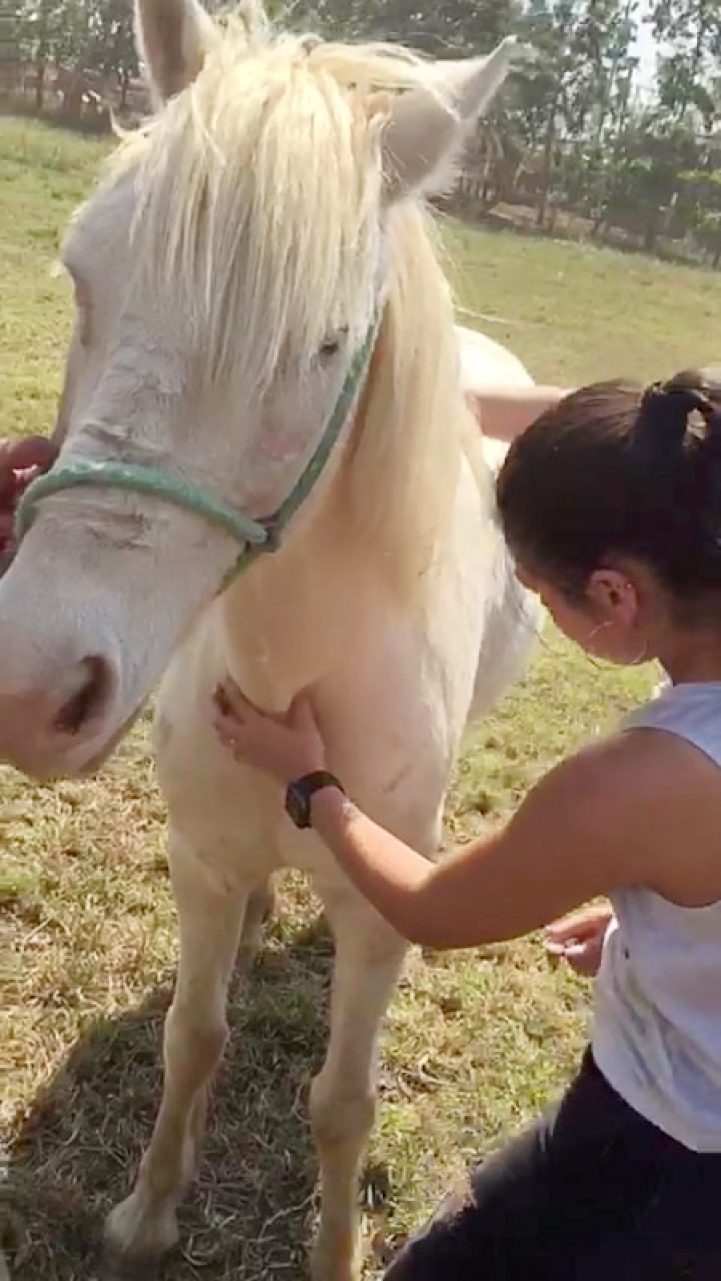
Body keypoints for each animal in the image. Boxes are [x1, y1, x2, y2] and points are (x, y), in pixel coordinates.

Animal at [0, 5, 542, 1275]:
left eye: (329, 345)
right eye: (81, 273)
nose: (31, 691)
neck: (296, 678)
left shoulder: (381, 917)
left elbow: (342, 1105)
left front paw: (334, 1250)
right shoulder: (198, 863)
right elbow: (193, 1037)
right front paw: (147, 1215)